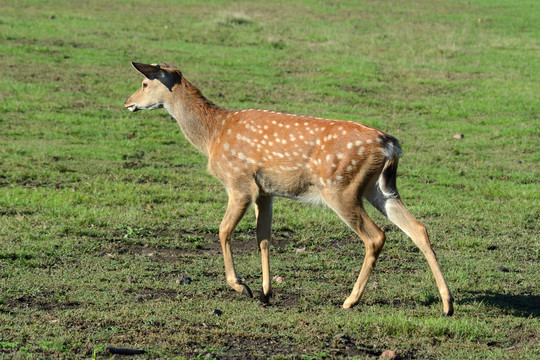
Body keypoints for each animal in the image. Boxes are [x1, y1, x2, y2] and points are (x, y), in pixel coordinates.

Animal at [124, 62, 454, 316]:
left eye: (144, 82)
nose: (128, 102)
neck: (212, 134)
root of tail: (390, 145)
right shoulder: (265, 191)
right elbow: (263, 237)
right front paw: (265, 292)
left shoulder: (240, 182)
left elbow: (223, 230)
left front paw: (241, 286)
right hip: (381, 188)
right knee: (418, 228)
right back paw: (447, 304)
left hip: (341, 188)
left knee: (376, 236)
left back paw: (350, 300)